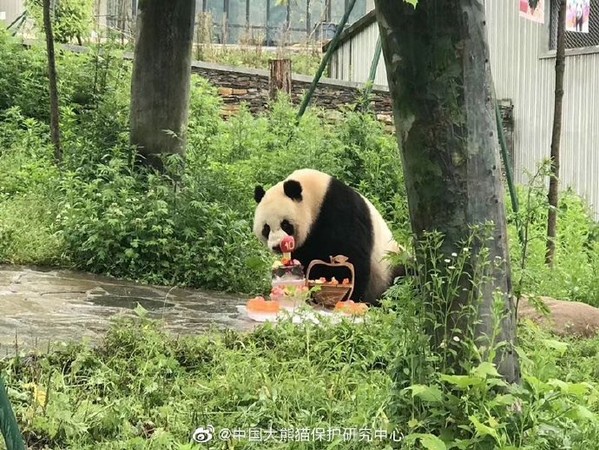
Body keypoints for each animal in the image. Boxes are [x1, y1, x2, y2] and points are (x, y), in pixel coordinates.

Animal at [253, 169, 408, 306]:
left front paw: (350, 298)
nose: (277, 246)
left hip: (391, 262)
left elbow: (352, 257)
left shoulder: (340, 211)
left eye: (285, 224)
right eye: (266, 228)